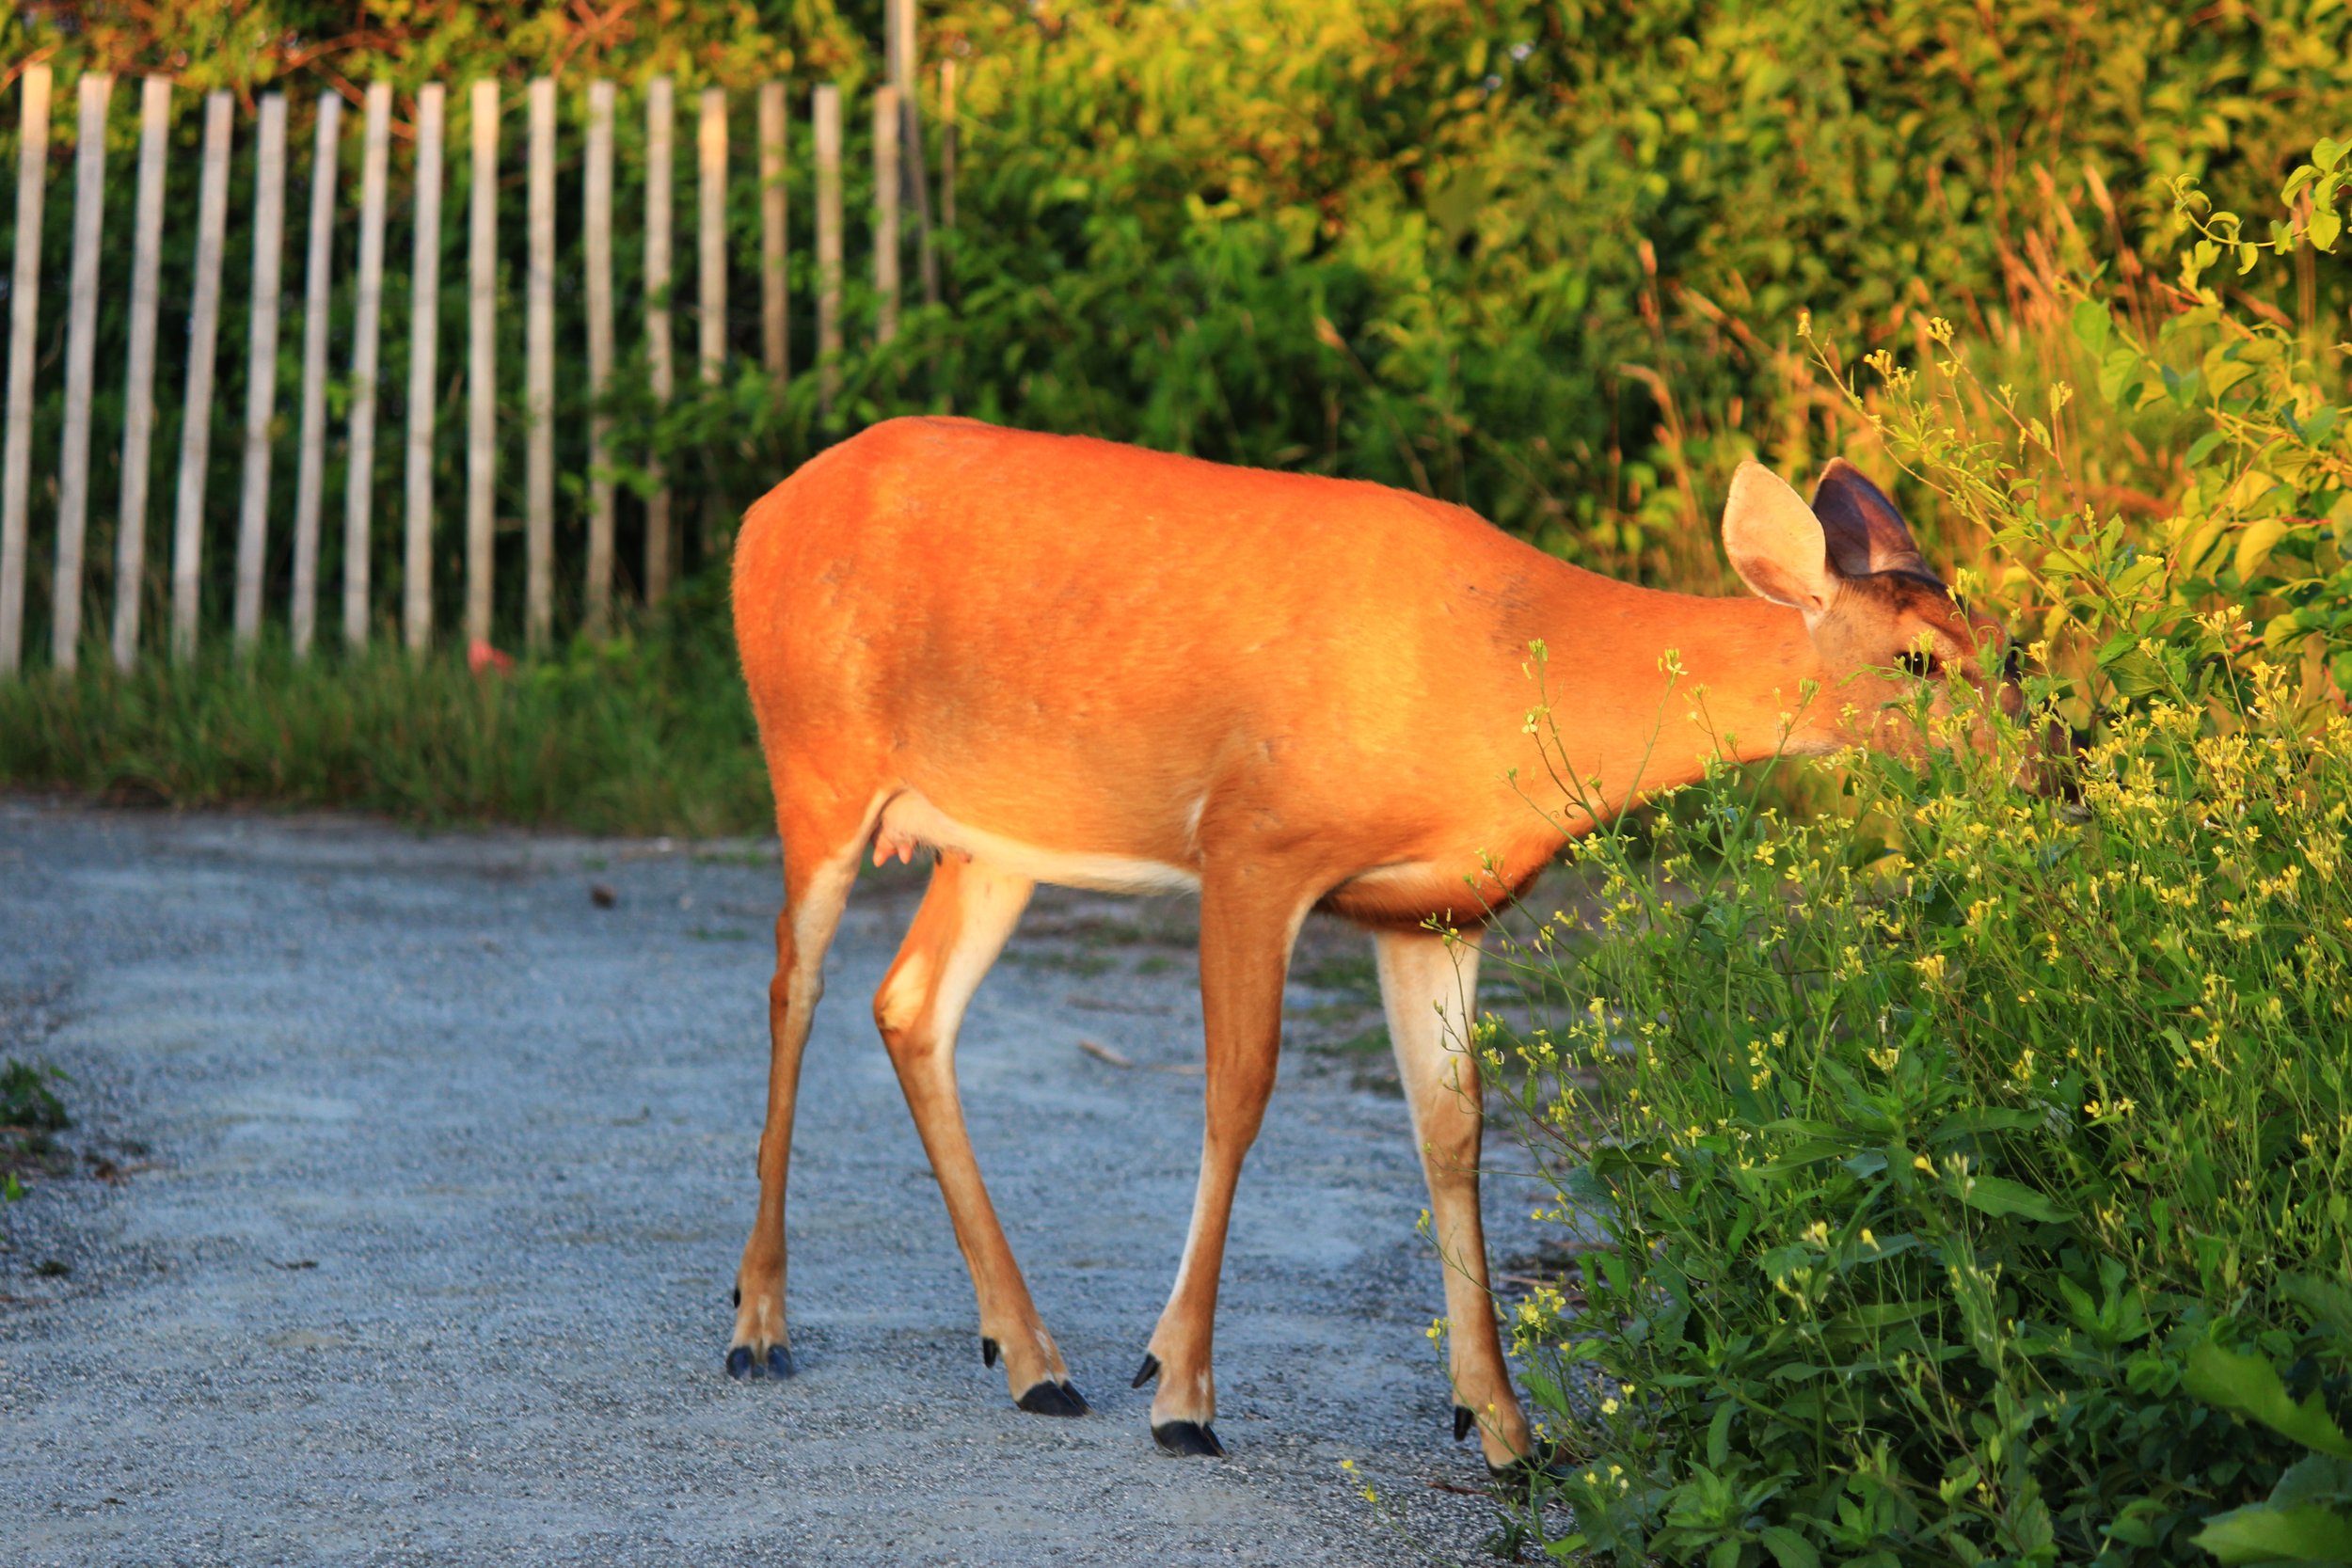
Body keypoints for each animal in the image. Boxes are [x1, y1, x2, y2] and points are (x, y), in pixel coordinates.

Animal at [721, 415, 2018, 1469]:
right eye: (1917, 660)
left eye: (1999, 642)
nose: (2036, 766)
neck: (1509, 664)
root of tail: (761, 512)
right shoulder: (1254, 840)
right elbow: (1237, 1093)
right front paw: (1182, 1393)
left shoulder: (1437, 909)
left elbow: (1454, 1133)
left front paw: (1500, 1425)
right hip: (817, 759)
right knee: (795, 980)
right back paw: (759, 1326)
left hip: (999, 831)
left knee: (909, 1003)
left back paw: (1034, 1360)